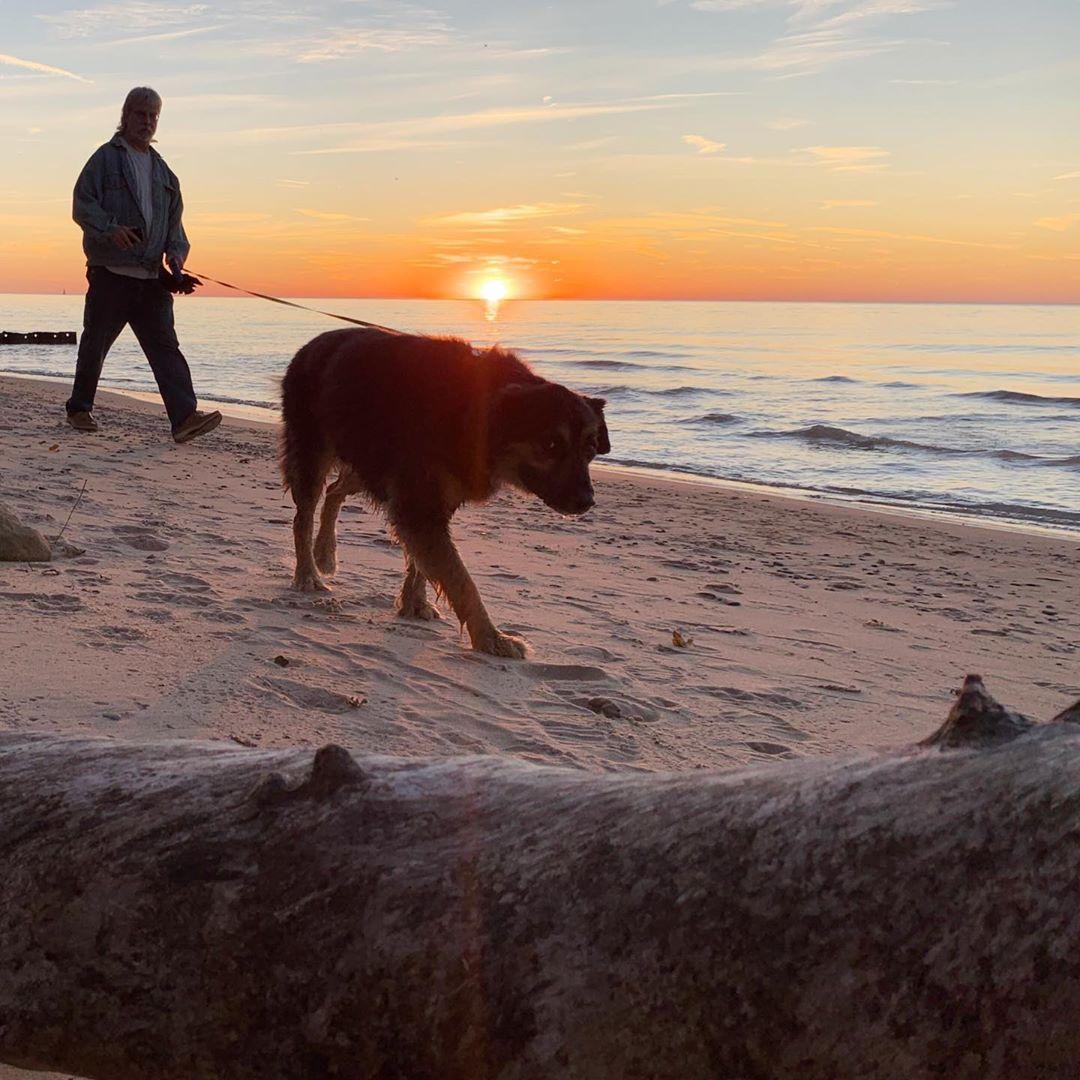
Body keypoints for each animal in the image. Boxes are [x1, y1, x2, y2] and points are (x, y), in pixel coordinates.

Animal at [282, 324, 613, 656]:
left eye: (591, 447)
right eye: (551, 444)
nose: (587, 502)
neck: (477, 412)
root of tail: (314, 341)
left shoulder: (430, 500)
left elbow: (422, 563)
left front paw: (415, 603)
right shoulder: (418, 503)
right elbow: (460, 579)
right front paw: (491, 637)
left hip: (367, 462)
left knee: (335, 491)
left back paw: (325, 553)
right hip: (315, 451)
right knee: (304, 516)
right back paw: (308, 573)